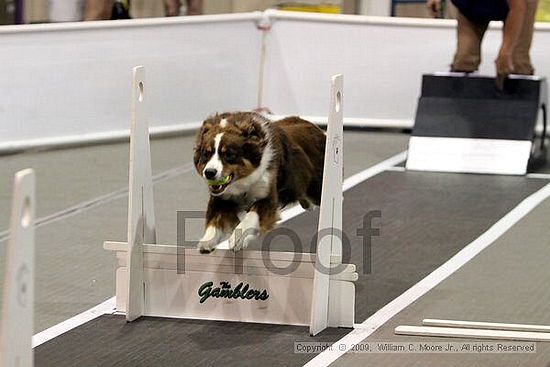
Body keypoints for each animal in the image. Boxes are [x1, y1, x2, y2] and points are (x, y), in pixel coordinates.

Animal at [193, 112, 326, 254]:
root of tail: (317, 129)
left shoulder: (267, 196)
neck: (242, 181)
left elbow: (251, 216)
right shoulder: (220, 199)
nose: (209, 172)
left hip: (317, 187)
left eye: (229, 154)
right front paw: (207, 241)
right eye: (206, 154)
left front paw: (237, 238)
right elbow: (214, 220)